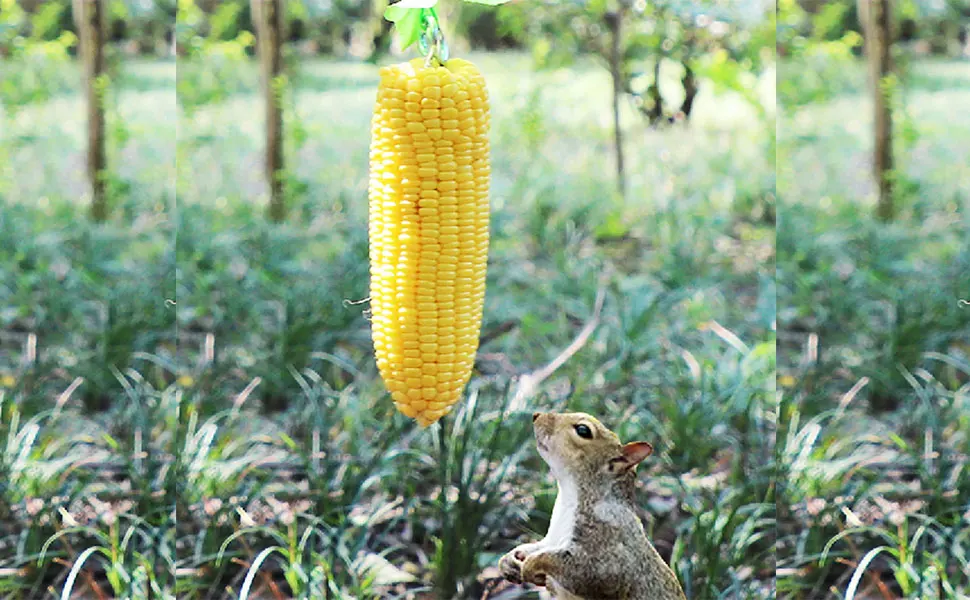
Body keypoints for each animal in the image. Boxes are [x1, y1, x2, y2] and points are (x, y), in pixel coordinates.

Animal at [498, 412, 687, 600]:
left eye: (583, 430)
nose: (536, 415)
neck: (569, 498)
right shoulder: (552, 539)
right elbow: (540, 546)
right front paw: (509, 560)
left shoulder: (607, 552)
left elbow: (586, 571)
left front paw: (531, 564)